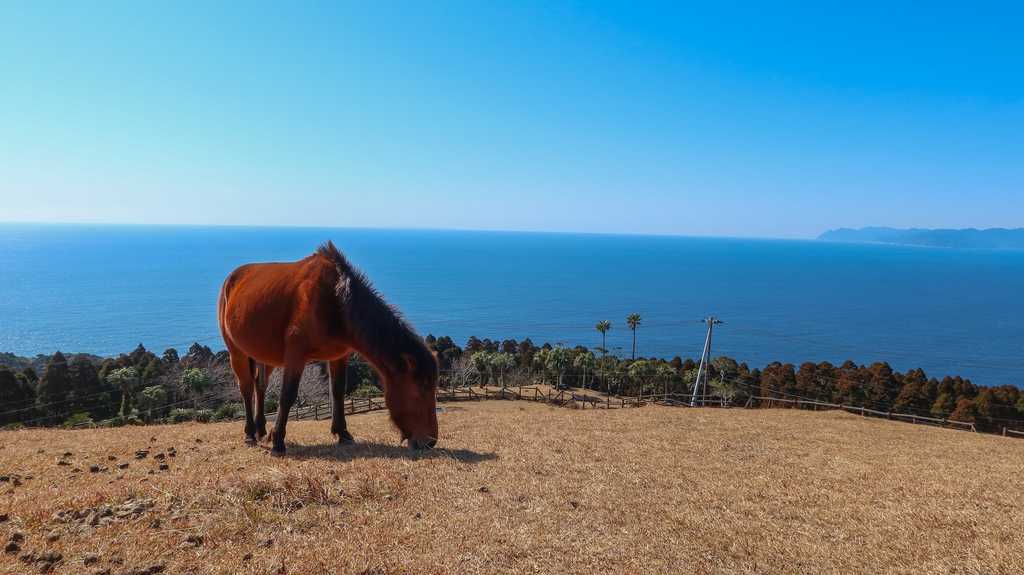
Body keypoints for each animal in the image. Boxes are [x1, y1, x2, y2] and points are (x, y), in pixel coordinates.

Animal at [217, 241, 439, 454]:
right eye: (420, 390)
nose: (430, 441)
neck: (335, 301)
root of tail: (231, 279)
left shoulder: (339, 355)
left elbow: (338, 392)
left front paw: (343, 433)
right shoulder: (295, 355)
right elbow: (287, 395)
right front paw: (278, 440)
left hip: (265, 355)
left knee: (260, 386)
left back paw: (261, 429)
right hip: (236, 352)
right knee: (246, 388)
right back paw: (250, 434)